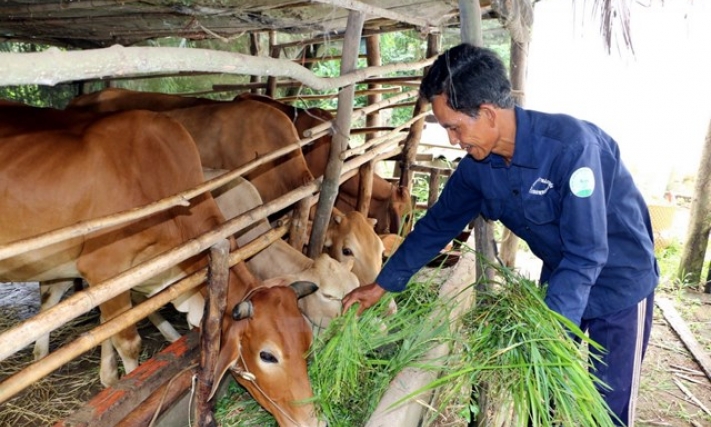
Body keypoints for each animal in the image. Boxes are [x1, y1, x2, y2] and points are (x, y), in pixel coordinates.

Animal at [0, 104, 322, 427]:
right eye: (268, 356)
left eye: (306, 340)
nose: (311, 420)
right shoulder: (105, 271)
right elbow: (128, 343)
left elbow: (107, 327)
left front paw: (109, 378)